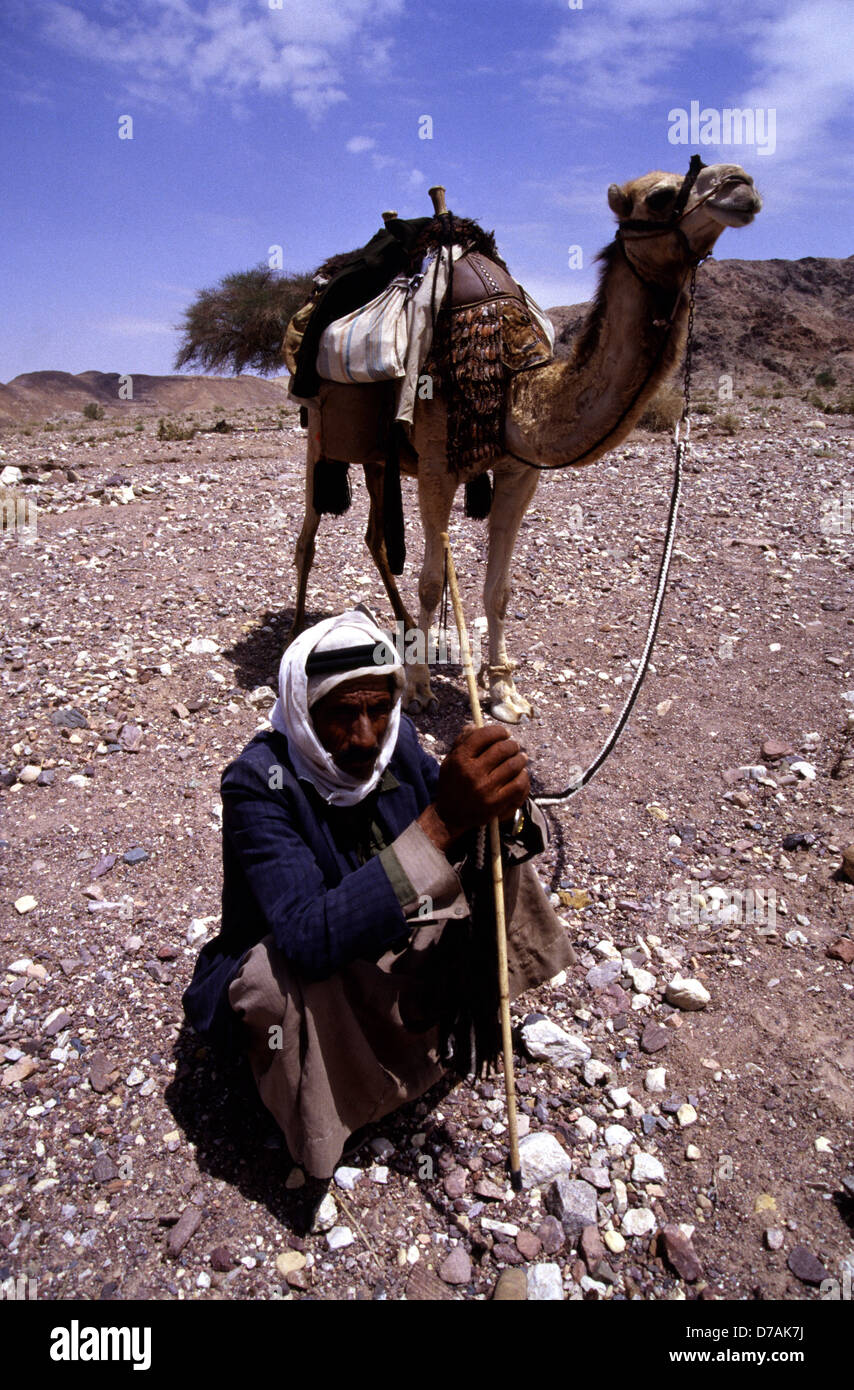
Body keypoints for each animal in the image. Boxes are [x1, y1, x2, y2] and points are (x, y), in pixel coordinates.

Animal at [293, 162, 762, 722]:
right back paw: (299, 636)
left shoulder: (520, 470)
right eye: (660, 196)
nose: (741, 185)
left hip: (377, 456)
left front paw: (504, 692)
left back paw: (402, 633)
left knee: (375, 536)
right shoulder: (436, 466)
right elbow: (431, 581)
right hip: (320, 432)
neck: (512, 380)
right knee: (308, 535)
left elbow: (500, 589)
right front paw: (422, 688)